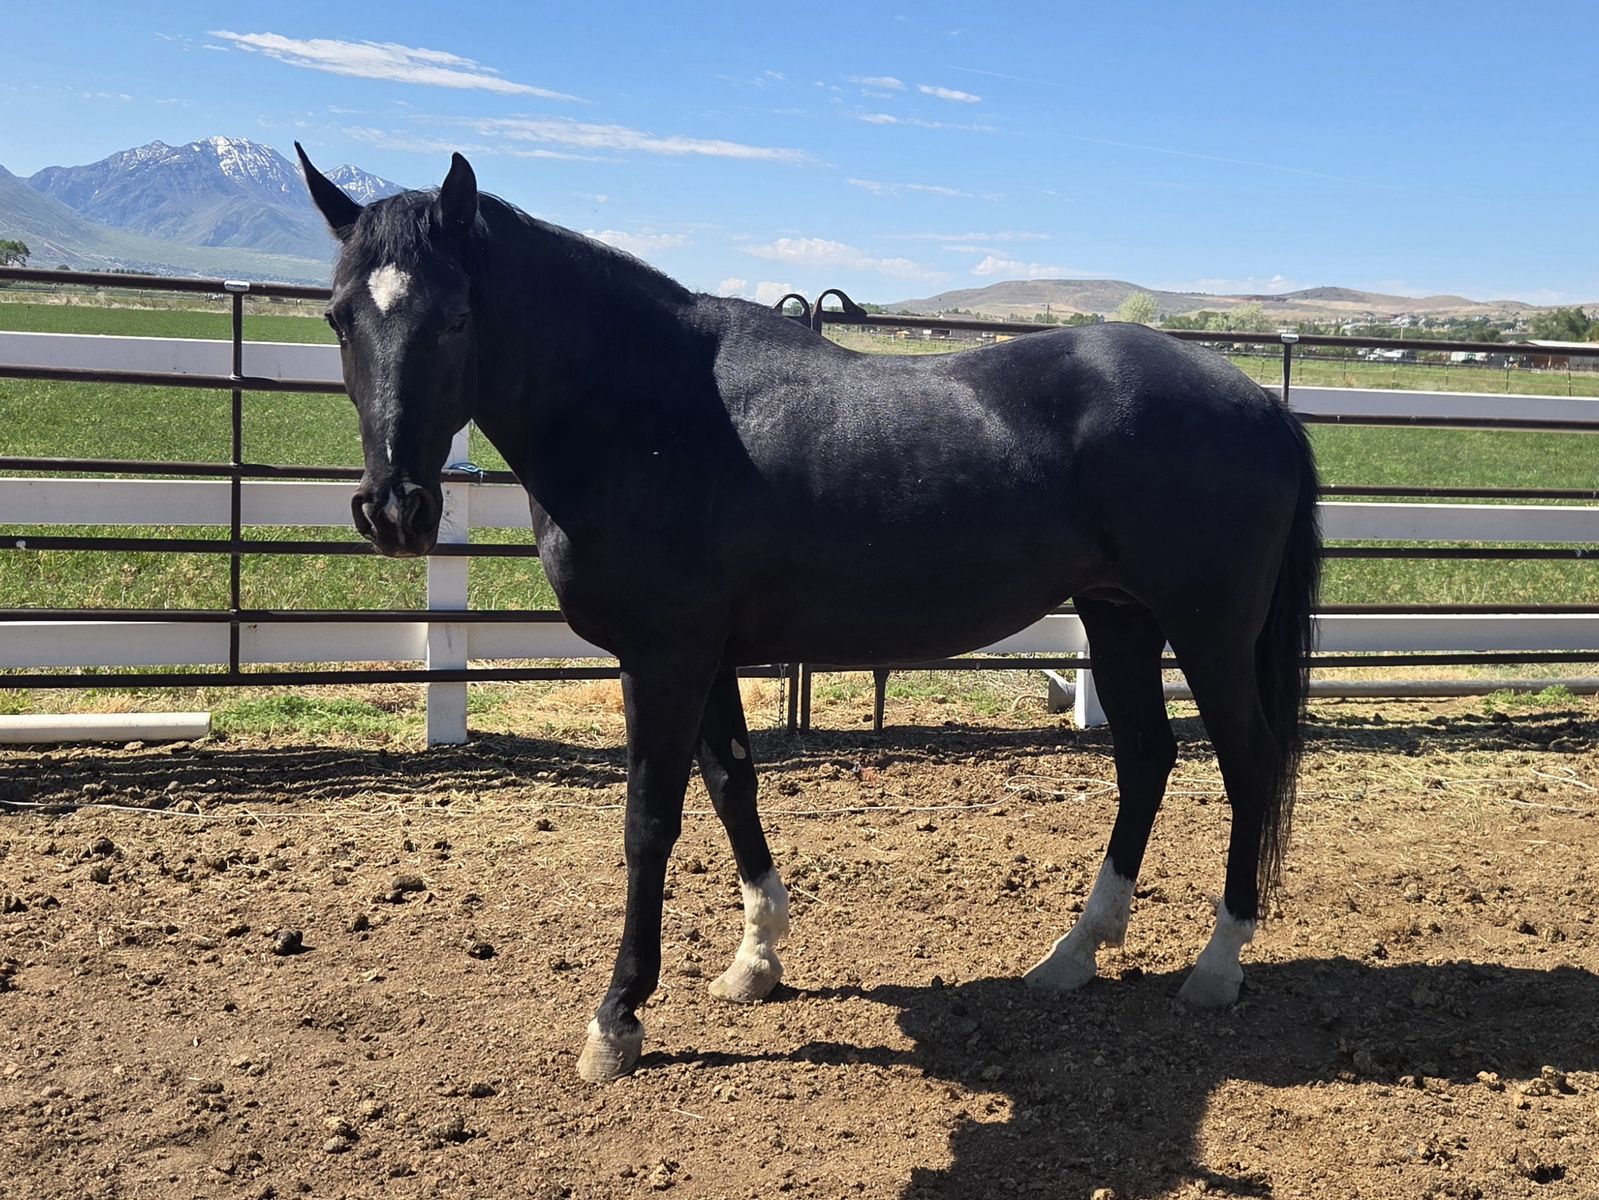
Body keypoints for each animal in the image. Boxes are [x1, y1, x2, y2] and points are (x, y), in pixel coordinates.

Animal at [296, 144, 1322, 1084]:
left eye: (457, 315)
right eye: (339, 317)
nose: (394, 510)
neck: (644, 406)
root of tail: (1261, 405)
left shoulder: (661, 657)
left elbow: (648, 822)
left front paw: (618, 1018)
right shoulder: (706, 655)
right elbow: (731, 787)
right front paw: (755, 961)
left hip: (1208, 631)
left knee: (1246, 762)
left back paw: (1215, 967)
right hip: (1117, 618)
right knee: (1145, 758)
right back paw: (1073, 954)